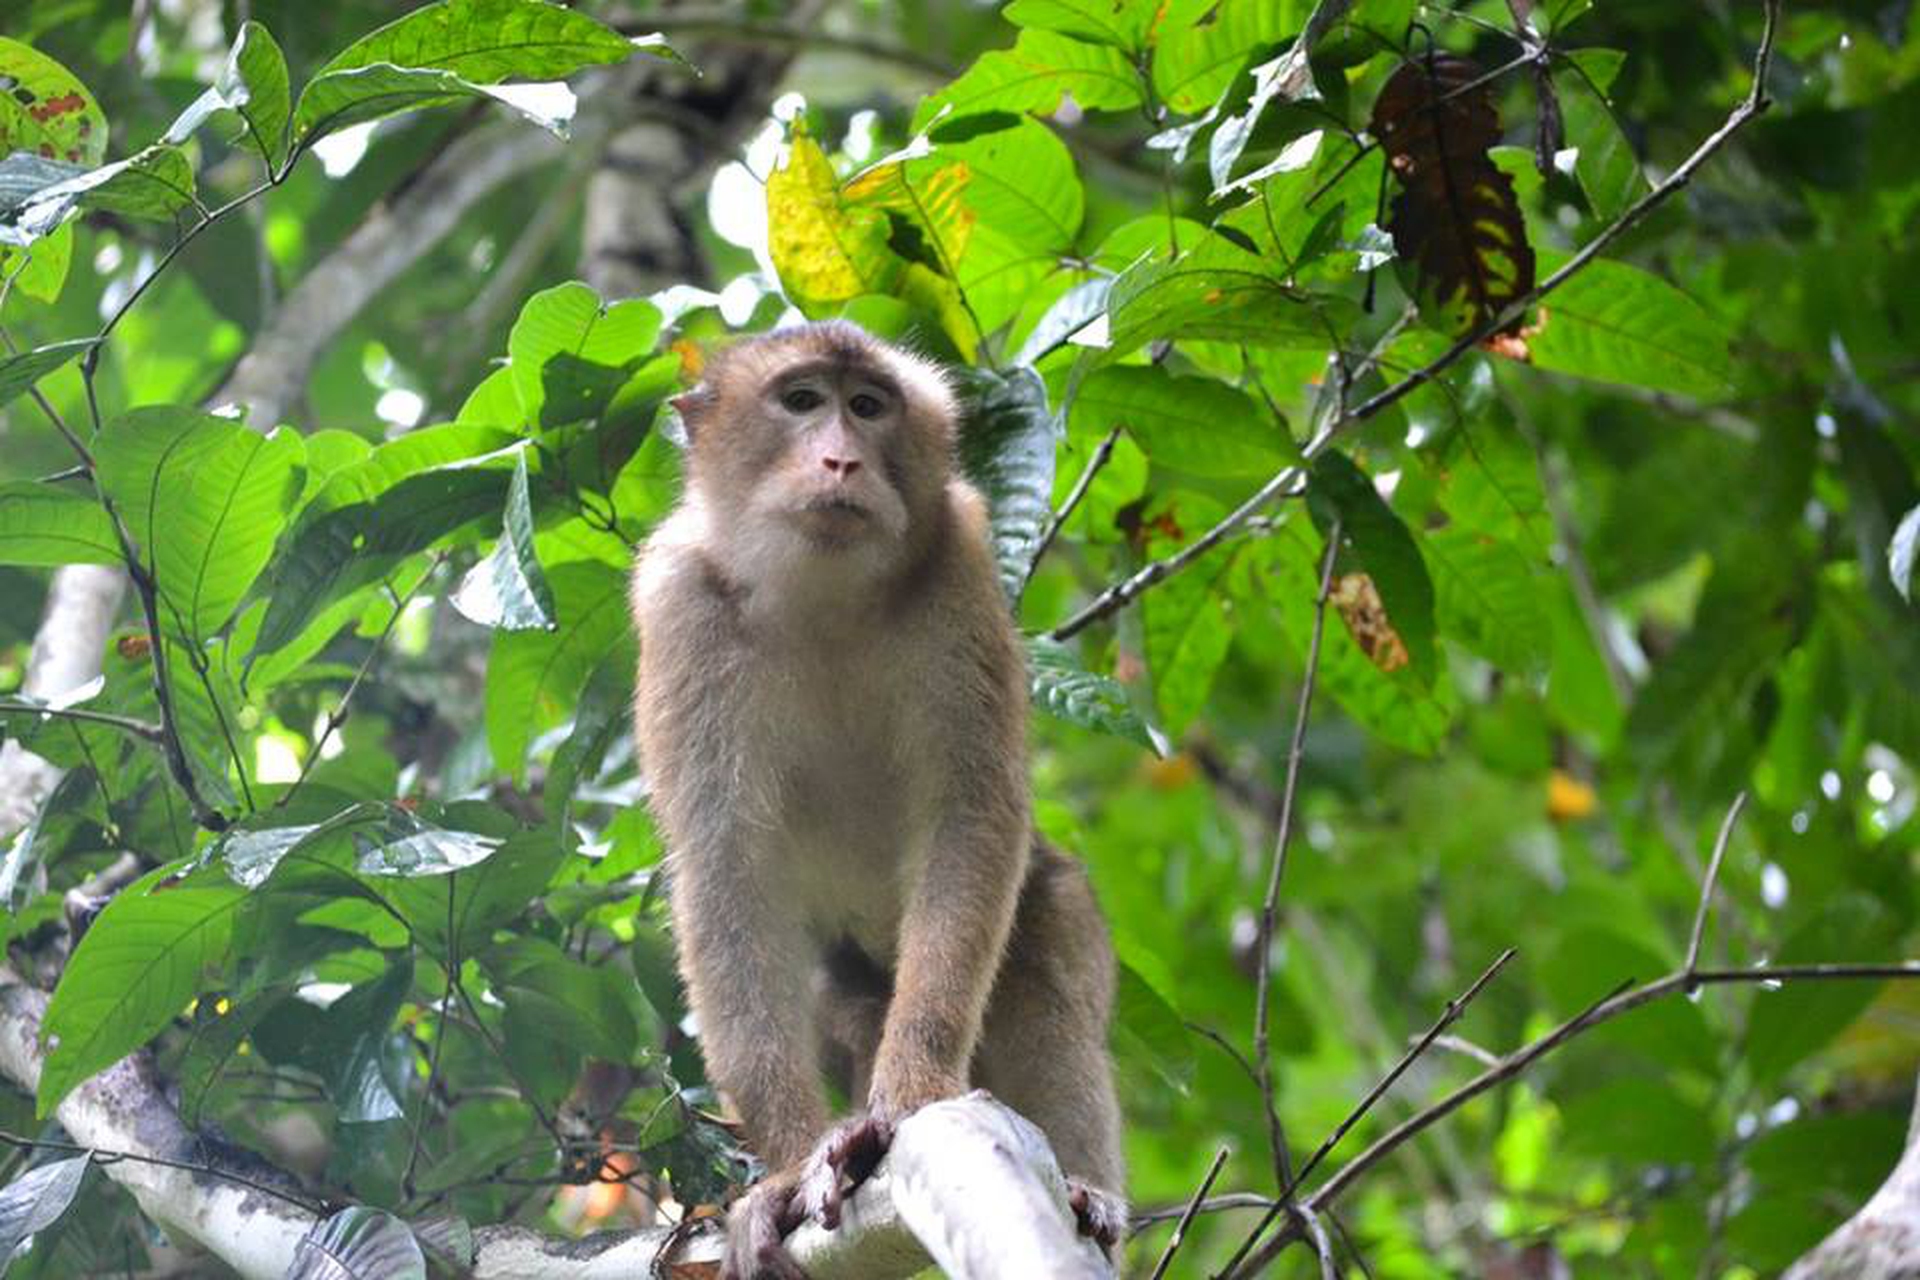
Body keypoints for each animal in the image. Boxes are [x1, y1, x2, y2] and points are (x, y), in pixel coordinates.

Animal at [629, 321, 1125, 1279]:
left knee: (1040, 982)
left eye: (866, 406)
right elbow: (724, 869)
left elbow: (970, 817)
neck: (820, 593)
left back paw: (1086, 1190)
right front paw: (789, 1170)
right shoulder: (680, 609)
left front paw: (908, 1096)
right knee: (849, 1001)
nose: (841, 459)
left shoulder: (958, 567)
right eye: (800, 401)